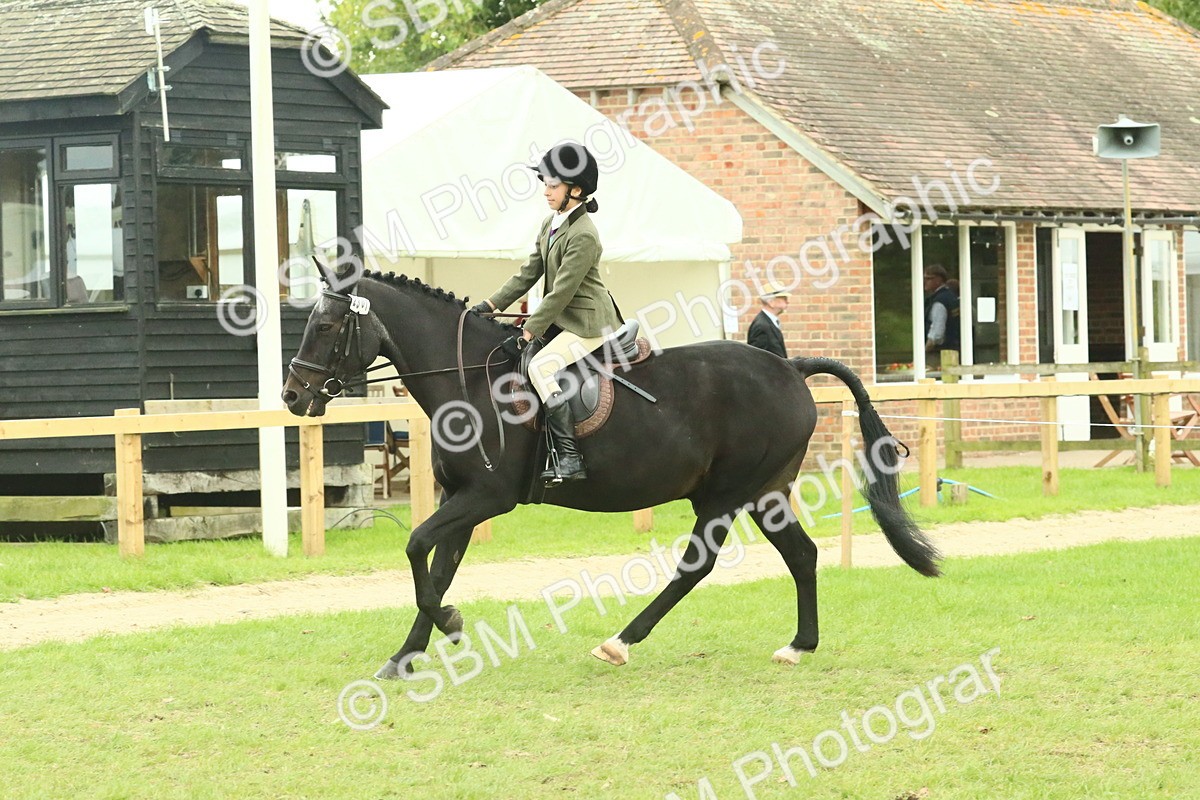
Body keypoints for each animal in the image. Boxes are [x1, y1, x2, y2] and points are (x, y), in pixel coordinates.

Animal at [282, 267, 940, 679]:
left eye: (325, 327)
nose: (292, 395)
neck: (468, 378)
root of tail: (788, 366)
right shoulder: (461, 499)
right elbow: (437, 568)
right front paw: (408, 654)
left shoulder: (488, 497)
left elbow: (419, 549)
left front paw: (448, 625)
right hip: (766, 493)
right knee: (802, 555)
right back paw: (798, 647)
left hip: (727, 495)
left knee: (698, 564)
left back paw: (620, 642)